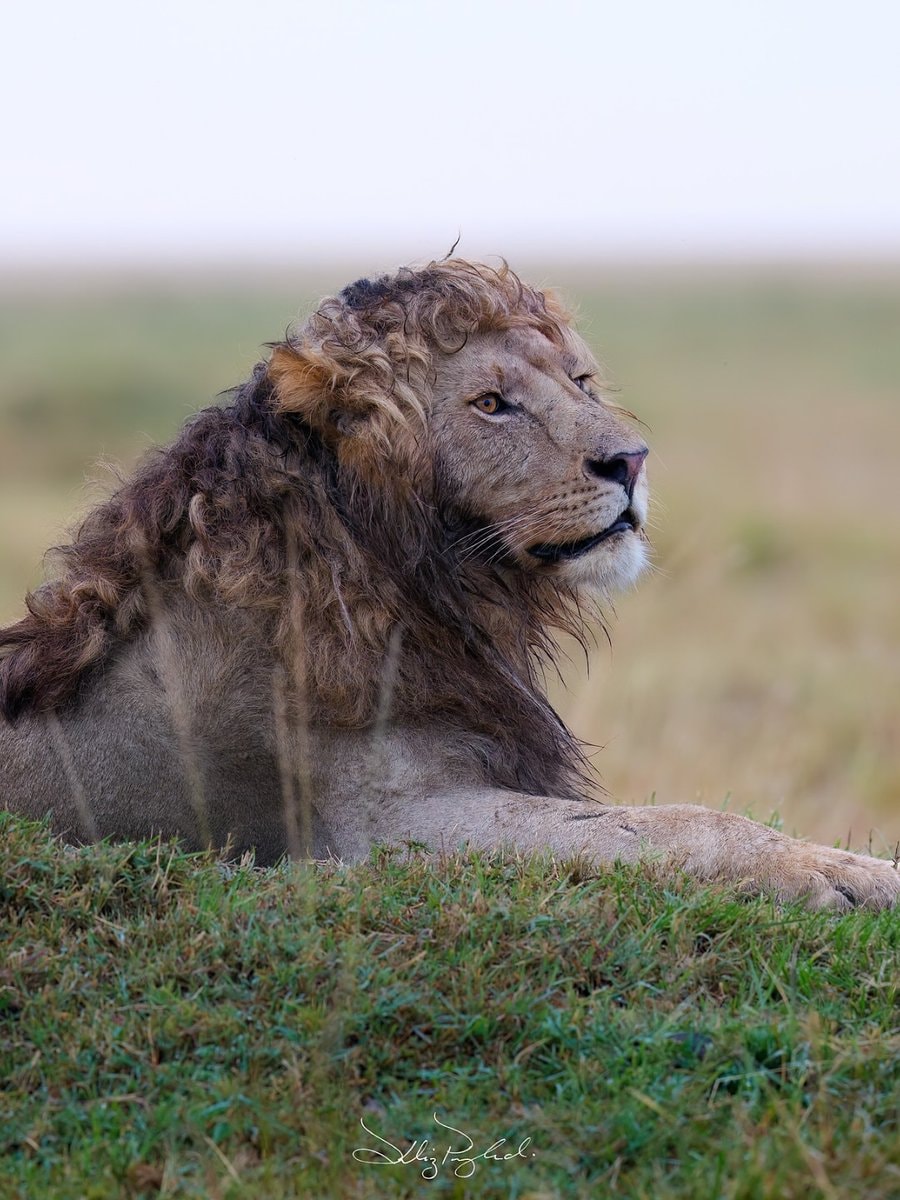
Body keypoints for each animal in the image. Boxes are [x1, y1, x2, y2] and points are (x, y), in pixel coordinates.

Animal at [1, 259, 897, 911]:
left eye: (579, 381)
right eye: (492, 404)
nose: (631, 461)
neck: (425, 578)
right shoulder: (394, 829)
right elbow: (679, 824)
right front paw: (836, 873)